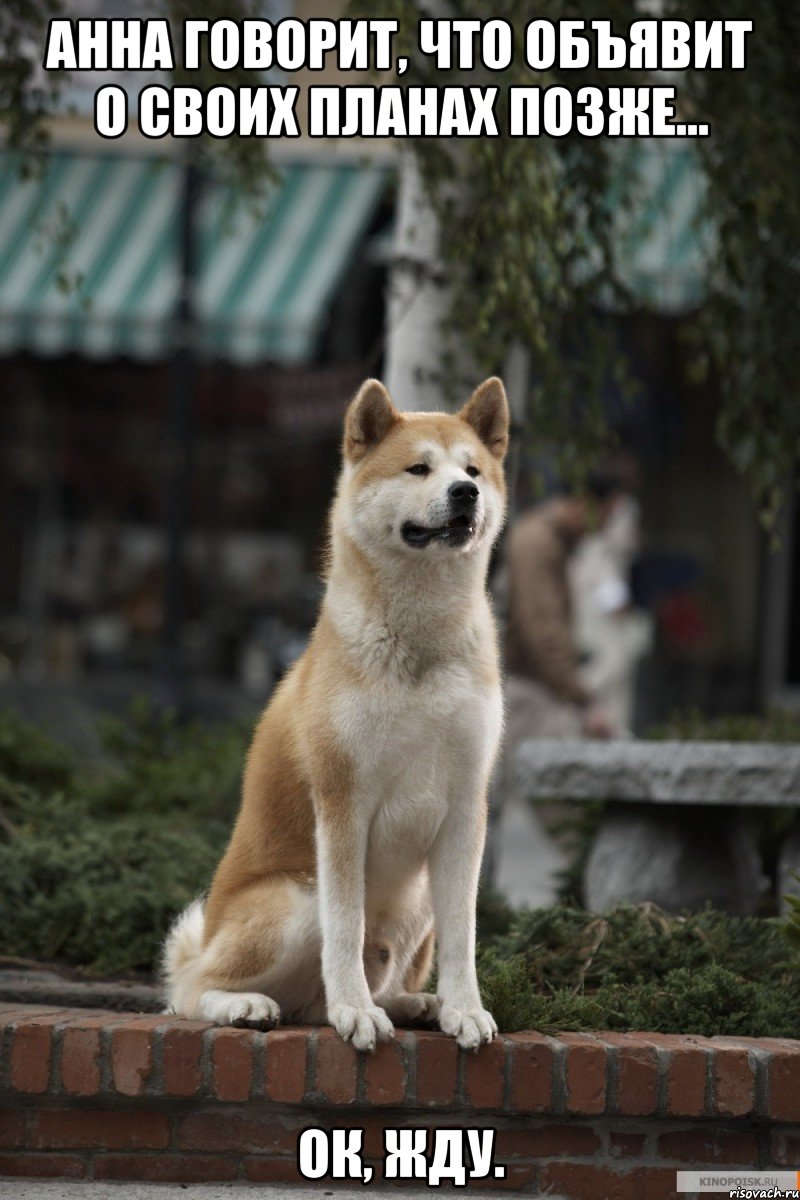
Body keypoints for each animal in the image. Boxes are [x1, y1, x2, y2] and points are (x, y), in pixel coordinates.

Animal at [165, 374, 510, 1051]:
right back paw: (250, 1005)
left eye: (473, 470)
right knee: (189, 990)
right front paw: (355, 1011)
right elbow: (346, 928)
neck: (420, 643)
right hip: (295, 900)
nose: (465, 493)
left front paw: (464, 1009)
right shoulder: (343, 801)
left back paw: (415, 1003)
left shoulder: (466, 806)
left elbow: (464, 935)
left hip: (417, 900)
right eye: (418, 468)